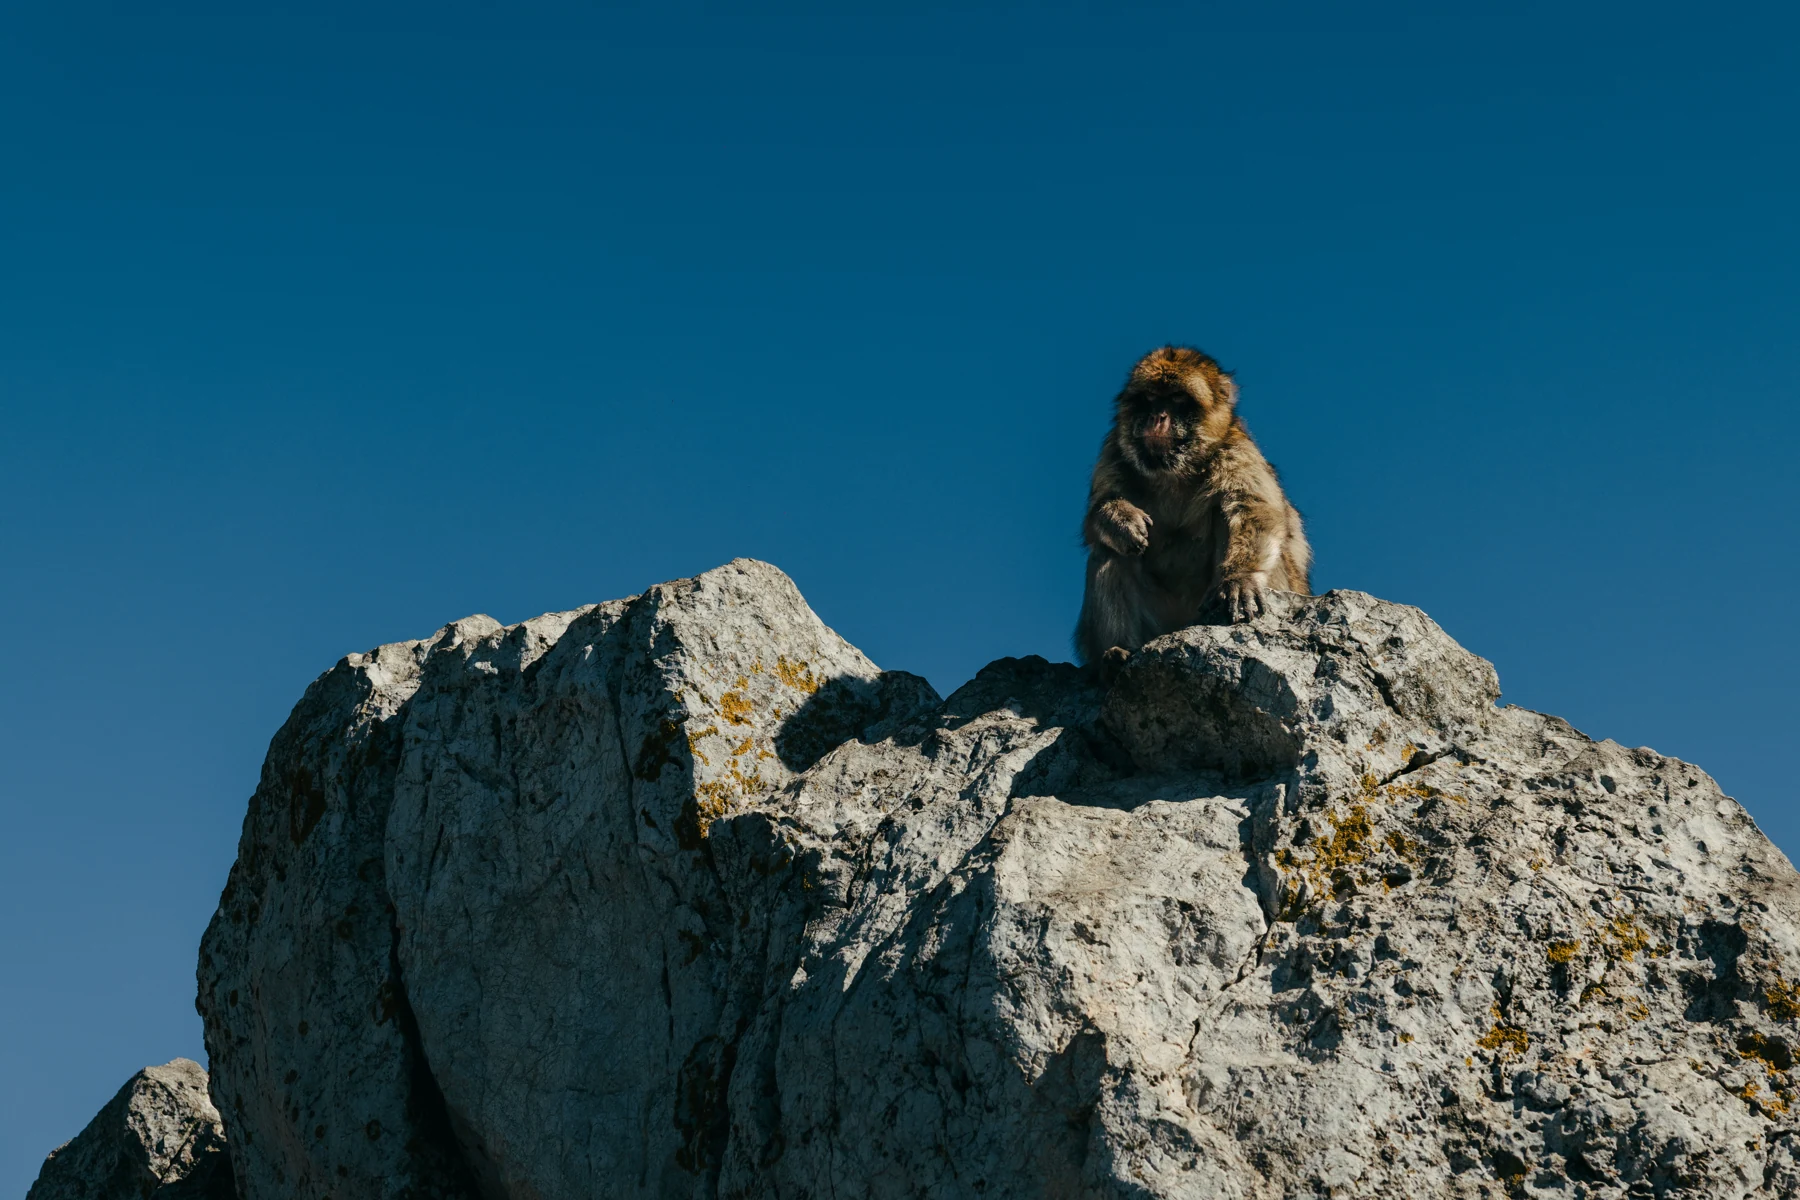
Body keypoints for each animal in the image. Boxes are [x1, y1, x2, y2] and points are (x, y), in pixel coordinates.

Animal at [1074, 345, 1311, 676]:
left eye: (1177, 398)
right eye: (1150, 397)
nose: (1157, 416)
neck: (1173, 471)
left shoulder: (1237, 450)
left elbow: (1252, 509)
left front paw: (1240, 578)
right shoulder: (1113, 450)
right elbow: (1095, 519)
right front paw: (1120, 518)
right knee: (1110, 551)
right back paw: (1115, 653)